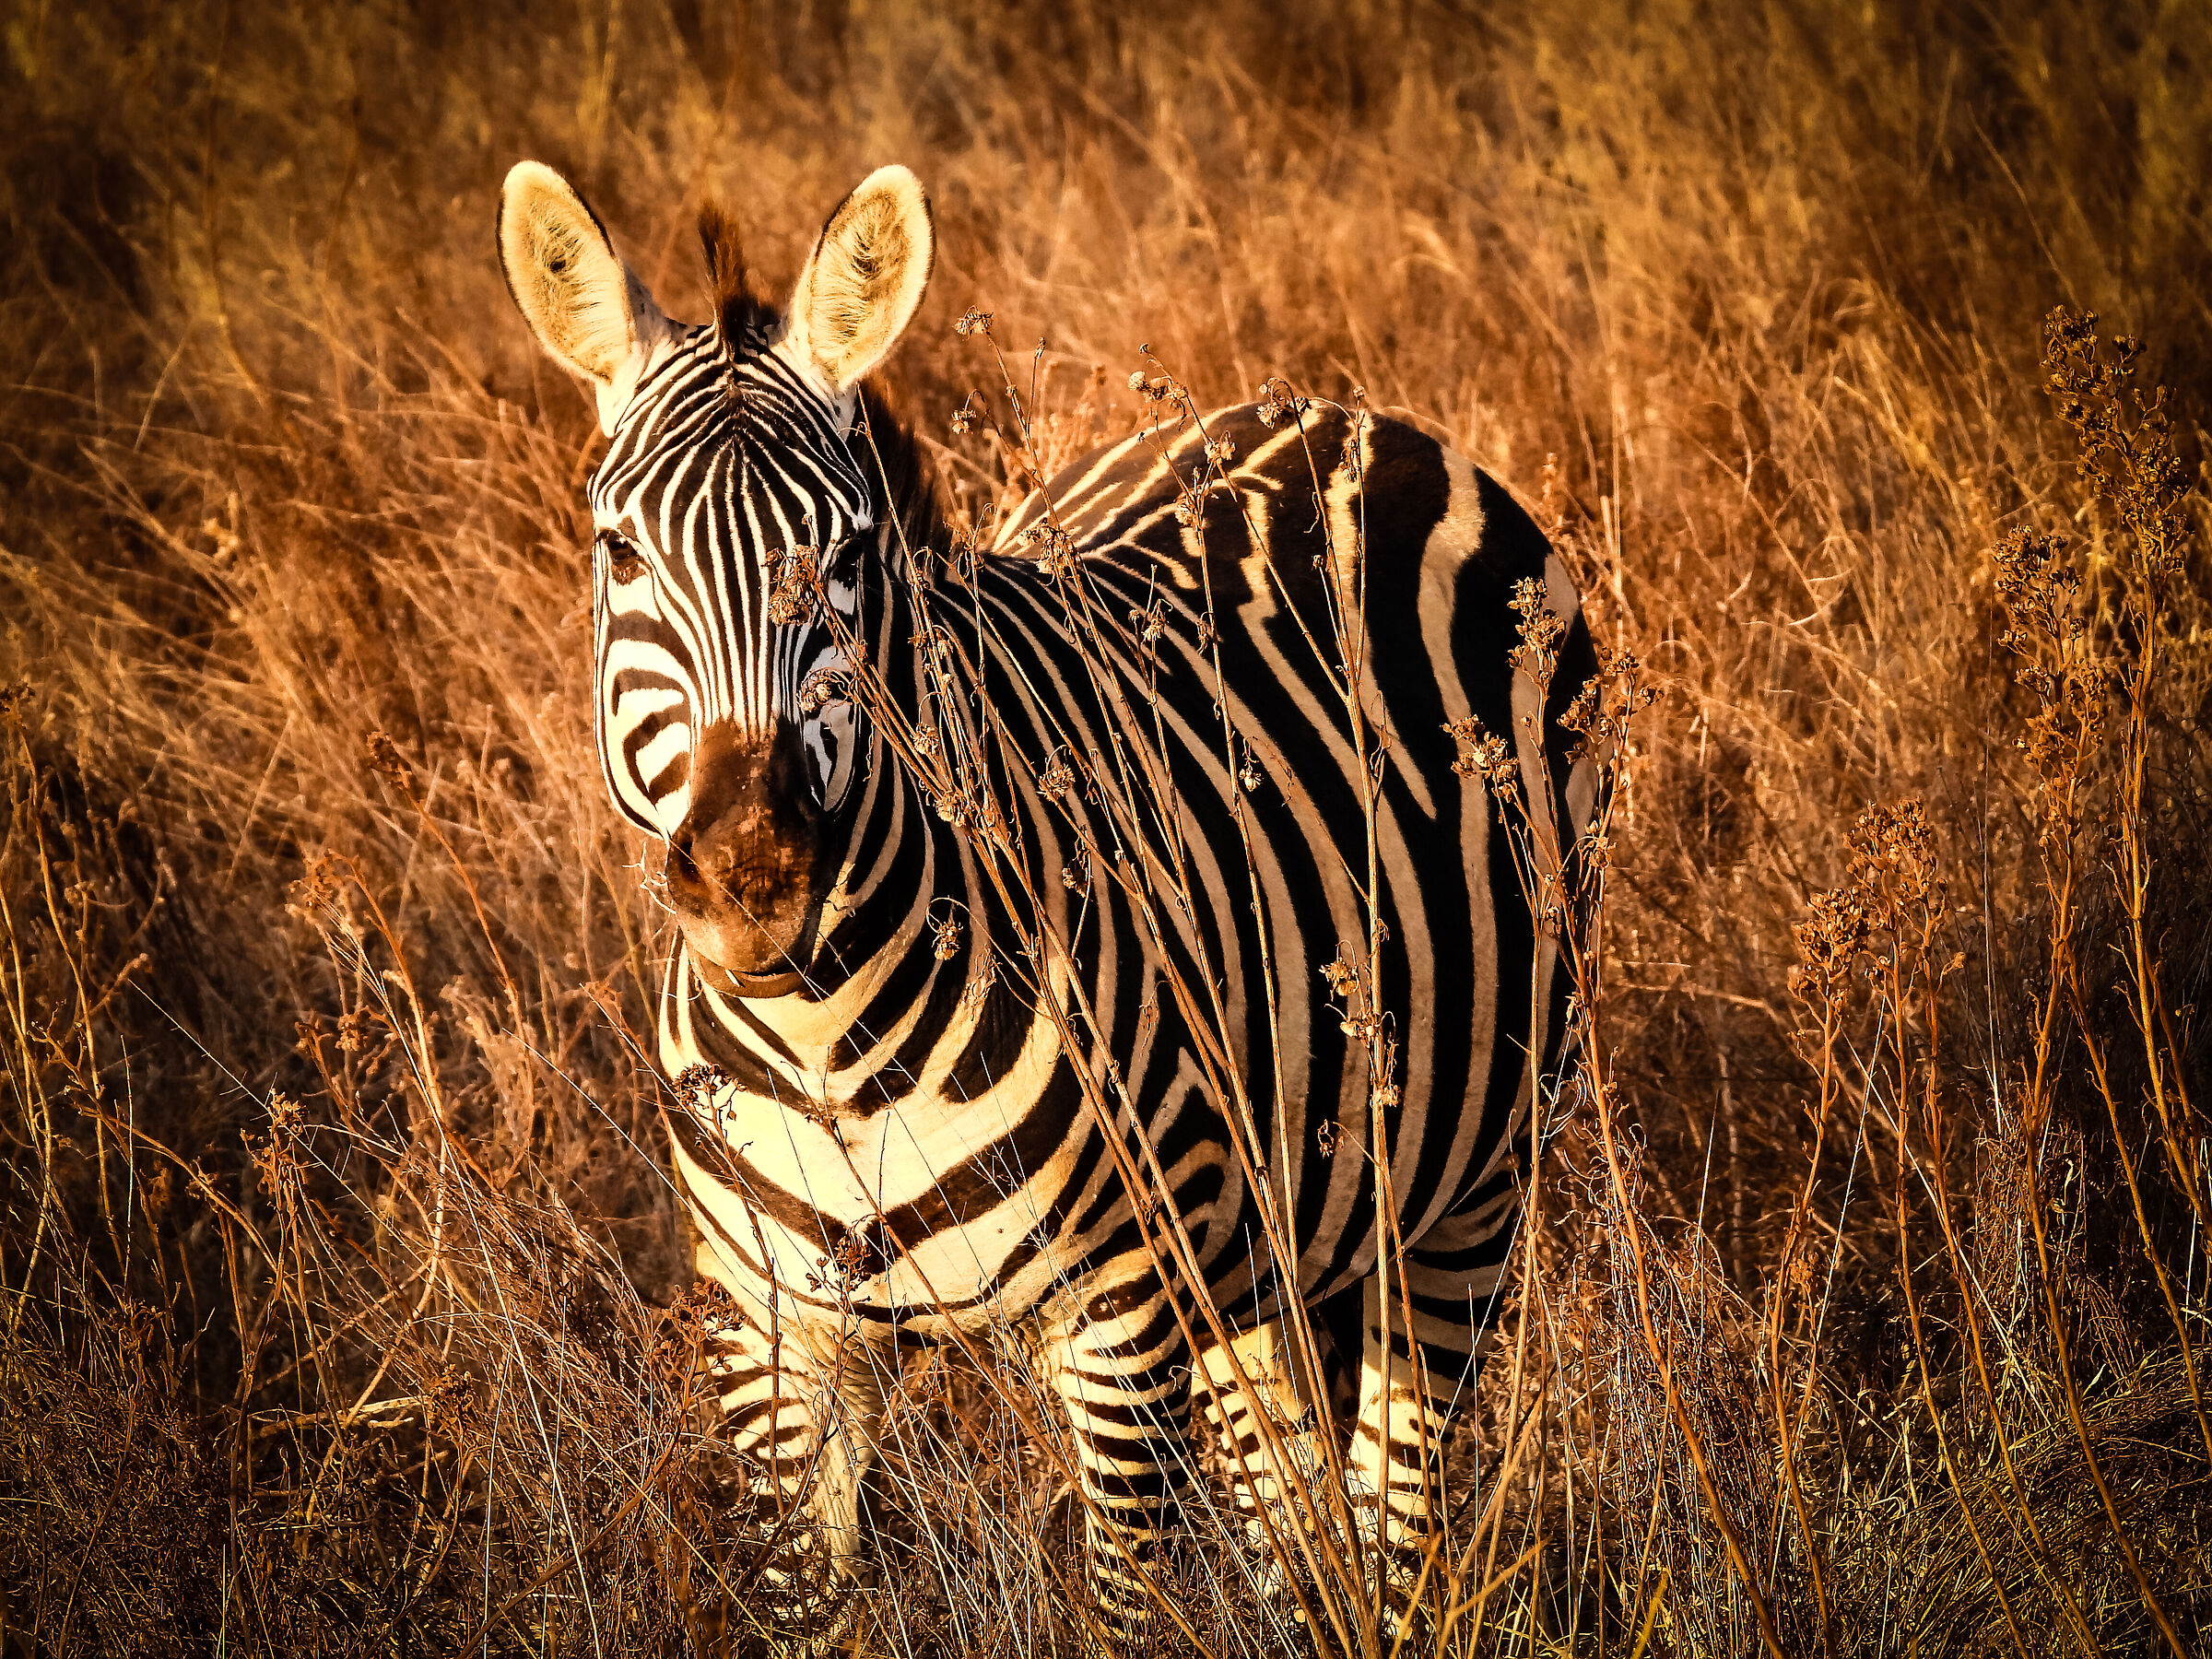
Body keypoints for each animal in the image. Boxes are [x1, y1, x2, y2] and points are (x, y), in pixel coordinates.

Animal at [498, 159, 1600, 1645]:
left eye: (850, 558)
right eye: (620, 554)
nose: (756, 877)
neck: (827, 1040)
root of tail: (1333, 410)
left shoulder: (1122, 1322)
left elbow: (1127, 1608)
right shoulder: (772, 1335)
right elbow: (806, 1603)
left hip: (1466, 1185)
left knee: (1396, 1517)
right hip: (1258, 1243)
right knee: (1295, 1516)